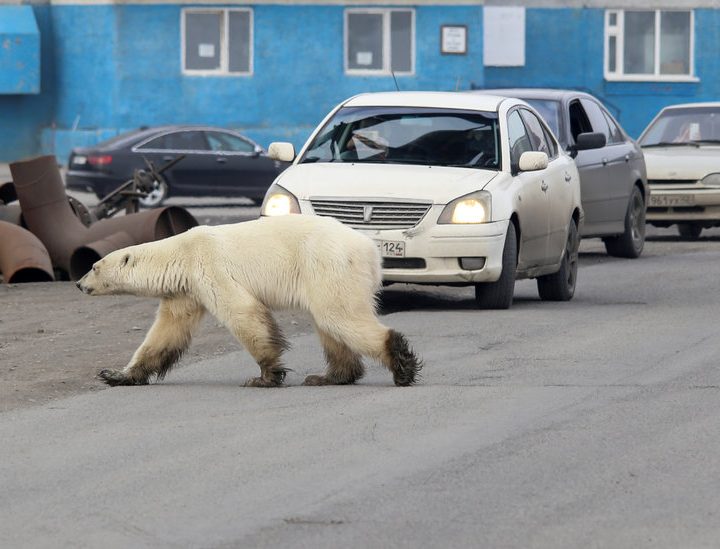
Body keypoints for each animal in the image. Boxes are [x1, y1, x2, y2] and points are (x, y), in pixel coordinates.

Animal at [76, 214, 422, 388]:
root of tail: (370, 249)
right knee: (329, 325)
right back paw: (328, 377)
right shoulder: (185, 290)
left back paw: (402, 366)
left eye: (94, 266)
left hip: (328, 264)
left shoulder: (209, 267)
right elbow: (166, 332)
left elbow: (243, 313)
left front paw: (265, 376)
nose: (79, 284)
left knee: (338, 316)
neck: (181, 253)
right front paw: (116, 375)